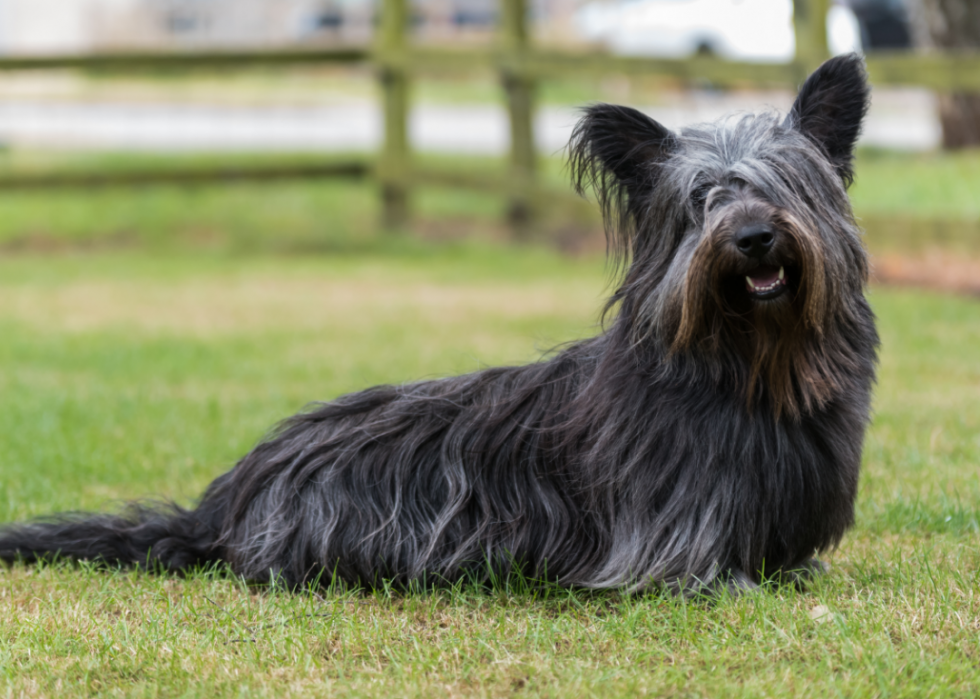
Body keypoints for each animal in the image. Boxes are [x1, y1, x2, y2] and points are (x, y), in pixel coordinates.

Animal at [0, 53, 880, 596]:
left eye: (788, 182)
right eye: (701, 200)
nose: (753, 236)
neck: (746, 365)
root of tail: (219, 506)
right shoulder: (663, 539)